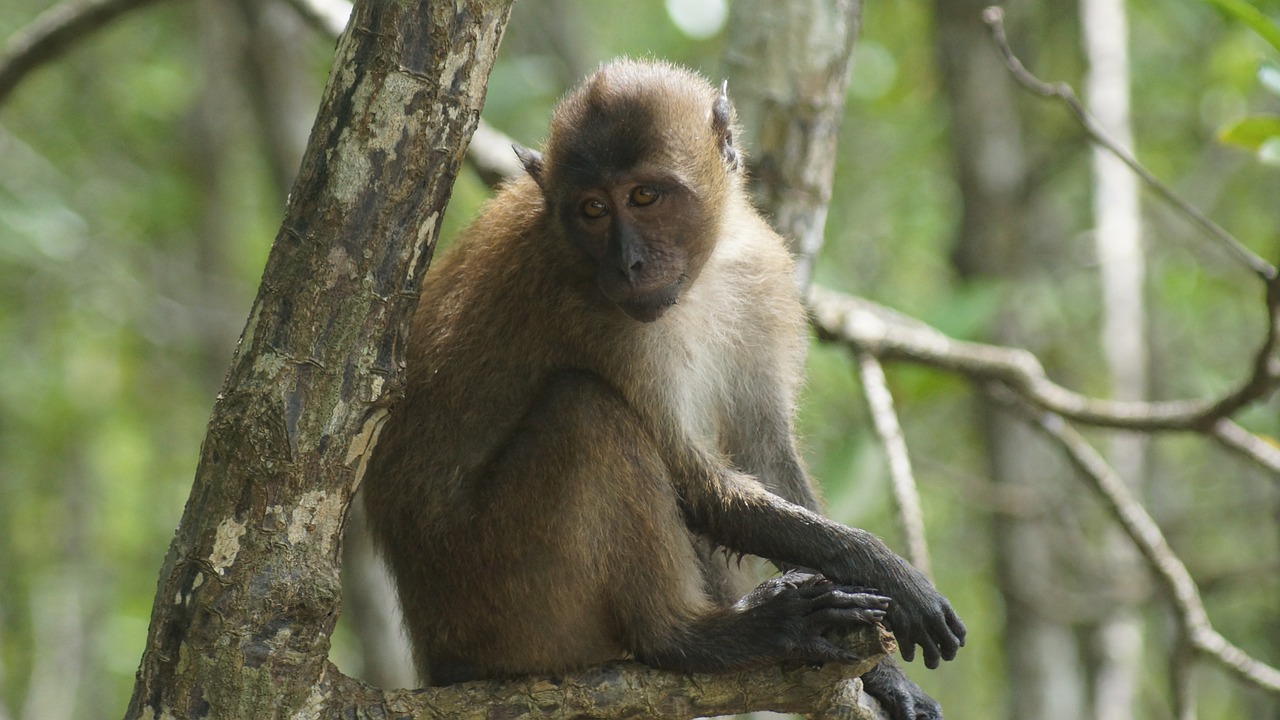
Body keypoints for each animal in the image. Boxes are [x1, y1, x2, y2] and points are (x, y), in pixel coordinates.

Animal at [360, 57, 962, 717]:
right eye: (593, 209)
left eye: (644, 196)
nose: (628, 264)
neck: (703, 276)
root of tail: (437, 657)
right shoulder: (595, 318)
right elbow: (694, 481)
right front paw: (888, 572)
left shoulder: (761, 276)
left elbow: (764, 452)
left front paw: (888, 675)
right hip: (502, 599)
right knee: (585, 412)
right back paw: (692, 638)